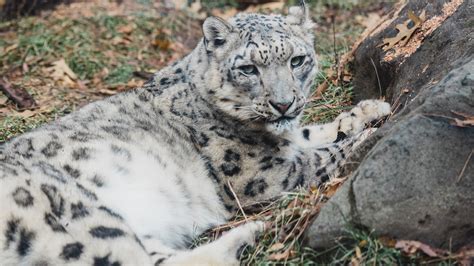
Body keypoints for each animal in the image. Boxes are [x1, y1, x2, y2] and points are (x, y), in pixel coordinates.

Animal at [0, 3, 388, 264]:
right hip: (75, 217)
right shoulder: (262, 174)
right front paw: (367, 138)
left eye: (297, 60)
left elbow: (311, 133)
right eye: (249, 69)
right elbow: (319, 157)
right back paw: (256, 231)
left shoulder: (285, 141)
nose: (283, 104)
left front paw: (372, 110)